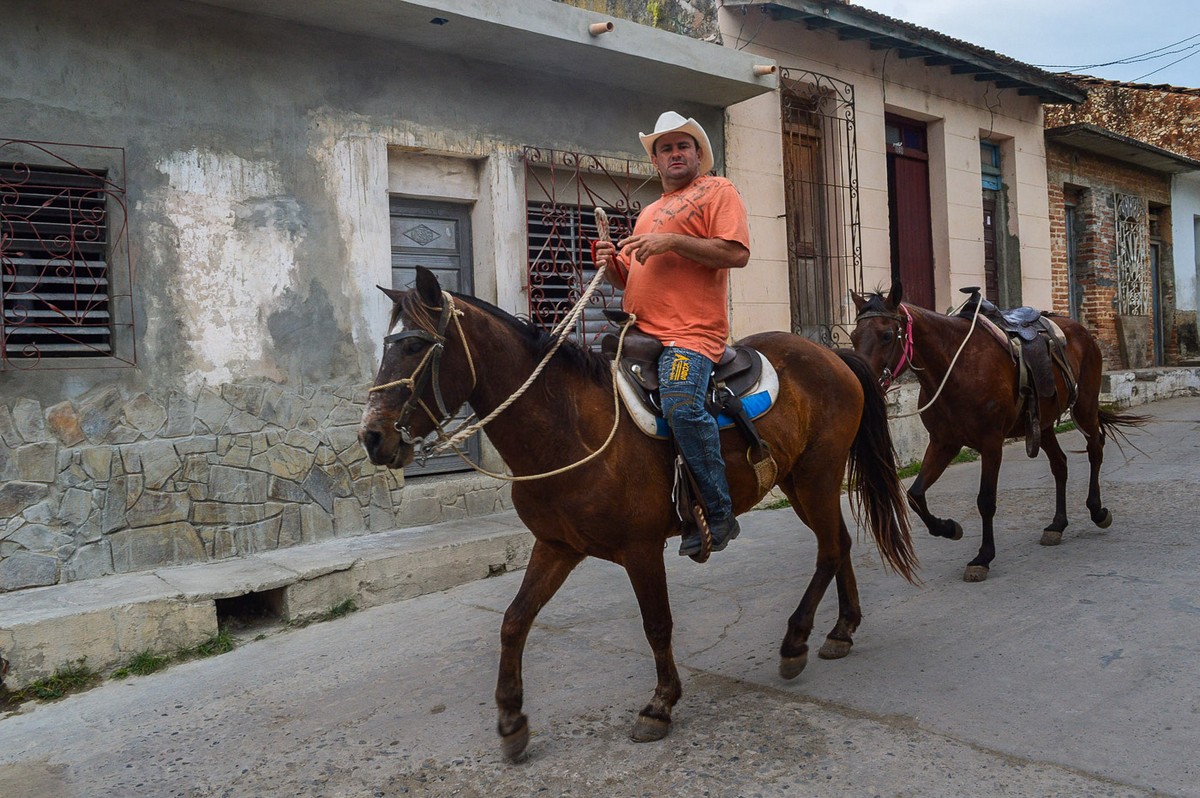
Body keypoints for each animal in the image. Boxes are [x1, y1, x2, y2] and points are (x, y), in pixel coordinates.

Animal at [360, 267, 912, 758]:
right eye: (385, 345)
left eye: (414, 346)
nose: (372, 437)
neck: (567, 427)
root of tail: (832, 355)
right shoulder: (556, 546)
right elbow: (514, 621)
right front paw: (512, 719)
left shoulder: (641, 549)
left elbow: (657, 624)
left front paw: (659, 706)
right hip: (798, 481)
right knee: (838, 542)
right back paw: (841, 630)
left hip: (817, 474)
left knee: (829, 549)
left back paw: (796, 641)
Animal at [849, 279, 1147, 578]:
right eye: (853, 336)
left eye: (887, 335)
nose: (861, 381)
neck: (956, 367)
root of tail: (1081, 330)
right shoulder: (944, 443)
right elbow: (915, 495)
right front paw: (948, 528)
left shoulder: (991, 444)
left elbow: (986, 500)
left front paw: (983, 557)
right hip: (1042, 424)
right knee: (1060, 465)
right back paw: (1057, 524)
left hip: (1084, 407)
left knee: (1095, 449)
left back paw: (1097, 511)